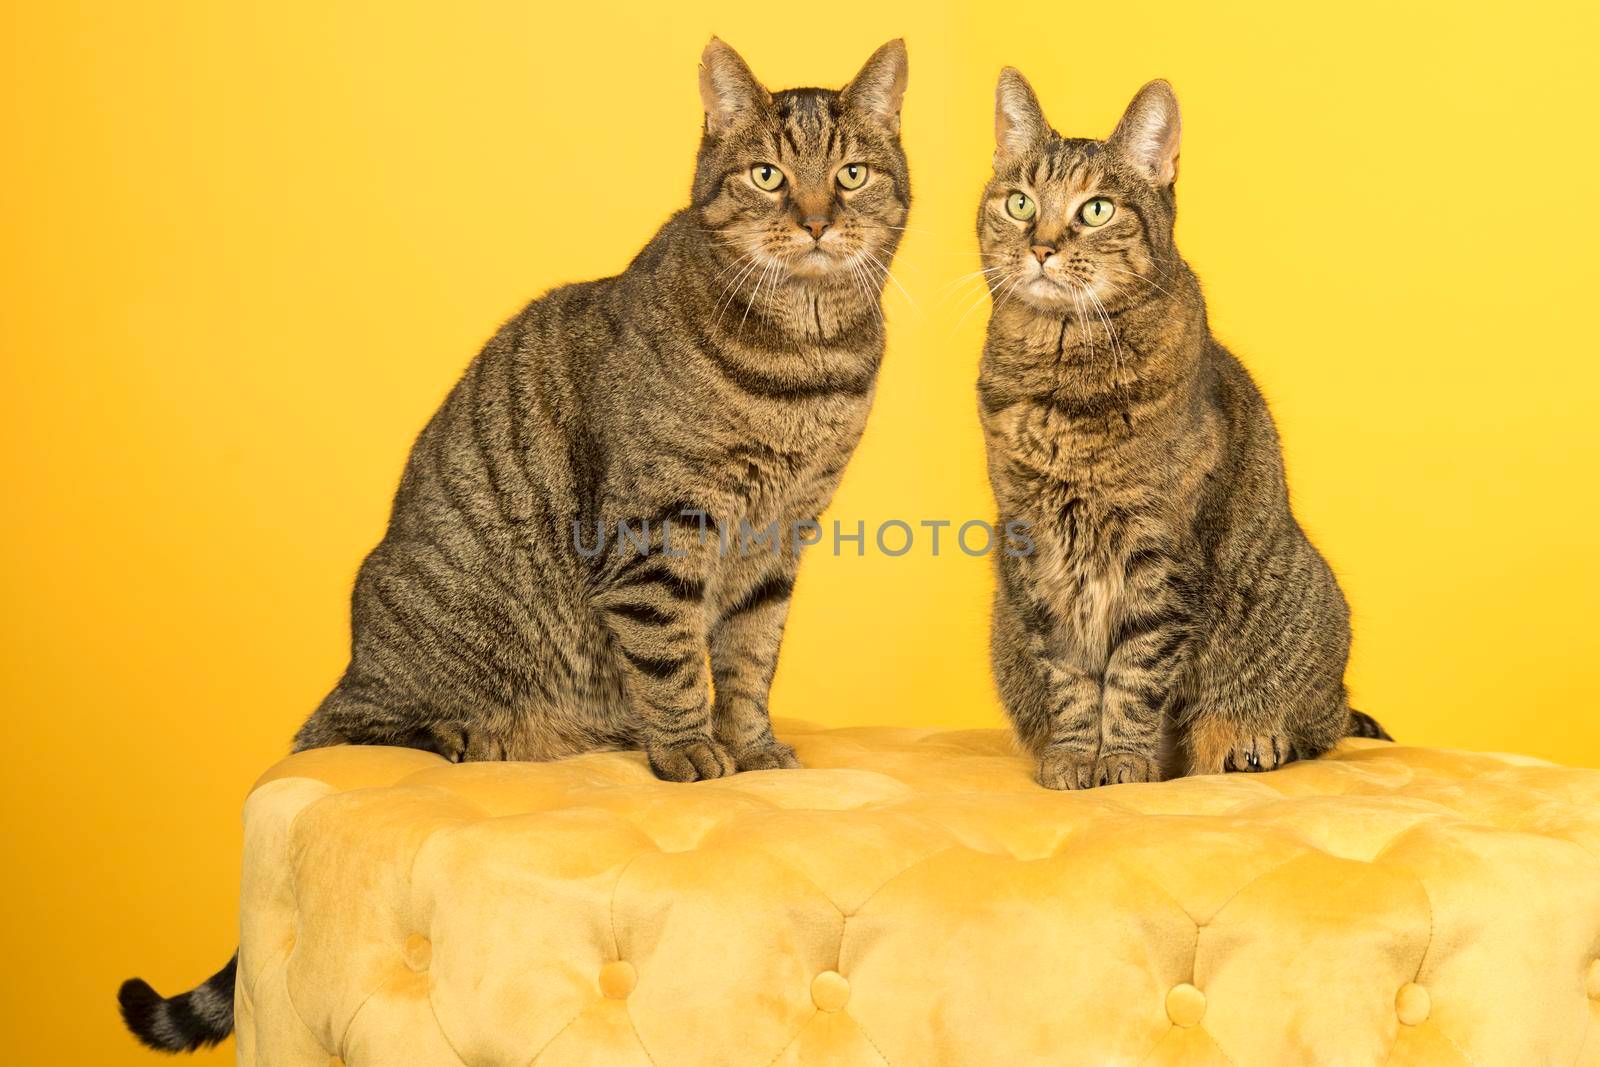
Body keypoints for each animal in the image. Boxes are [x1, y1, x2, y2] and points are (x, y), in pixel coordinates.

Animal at [118, 39, 908, 1049]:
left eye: (850, 175)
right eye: (768, 175)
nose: (813, 220)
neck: (807, 361)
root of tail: (354, 663)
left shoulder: (776, 547)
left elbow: (747, 660)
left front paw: (753, 743)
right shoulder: (656, 535)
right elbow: (677, 662)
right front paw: (693, 751)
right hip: (406, 669)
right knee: (356, 729)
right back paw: (470, 734)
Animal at [972, 70, 1388, 790]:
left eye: (1096, 210)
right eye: (1020, 203)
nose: (1041, 247)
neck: (1058, 379)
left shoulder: (1158, 556)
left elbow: (1134, 675)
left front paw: (1123, 761)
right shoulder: (1036, 552)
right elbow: (1071, 675)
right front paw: (1075, 754)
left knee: (1314, 725)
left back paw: (1249, 740)